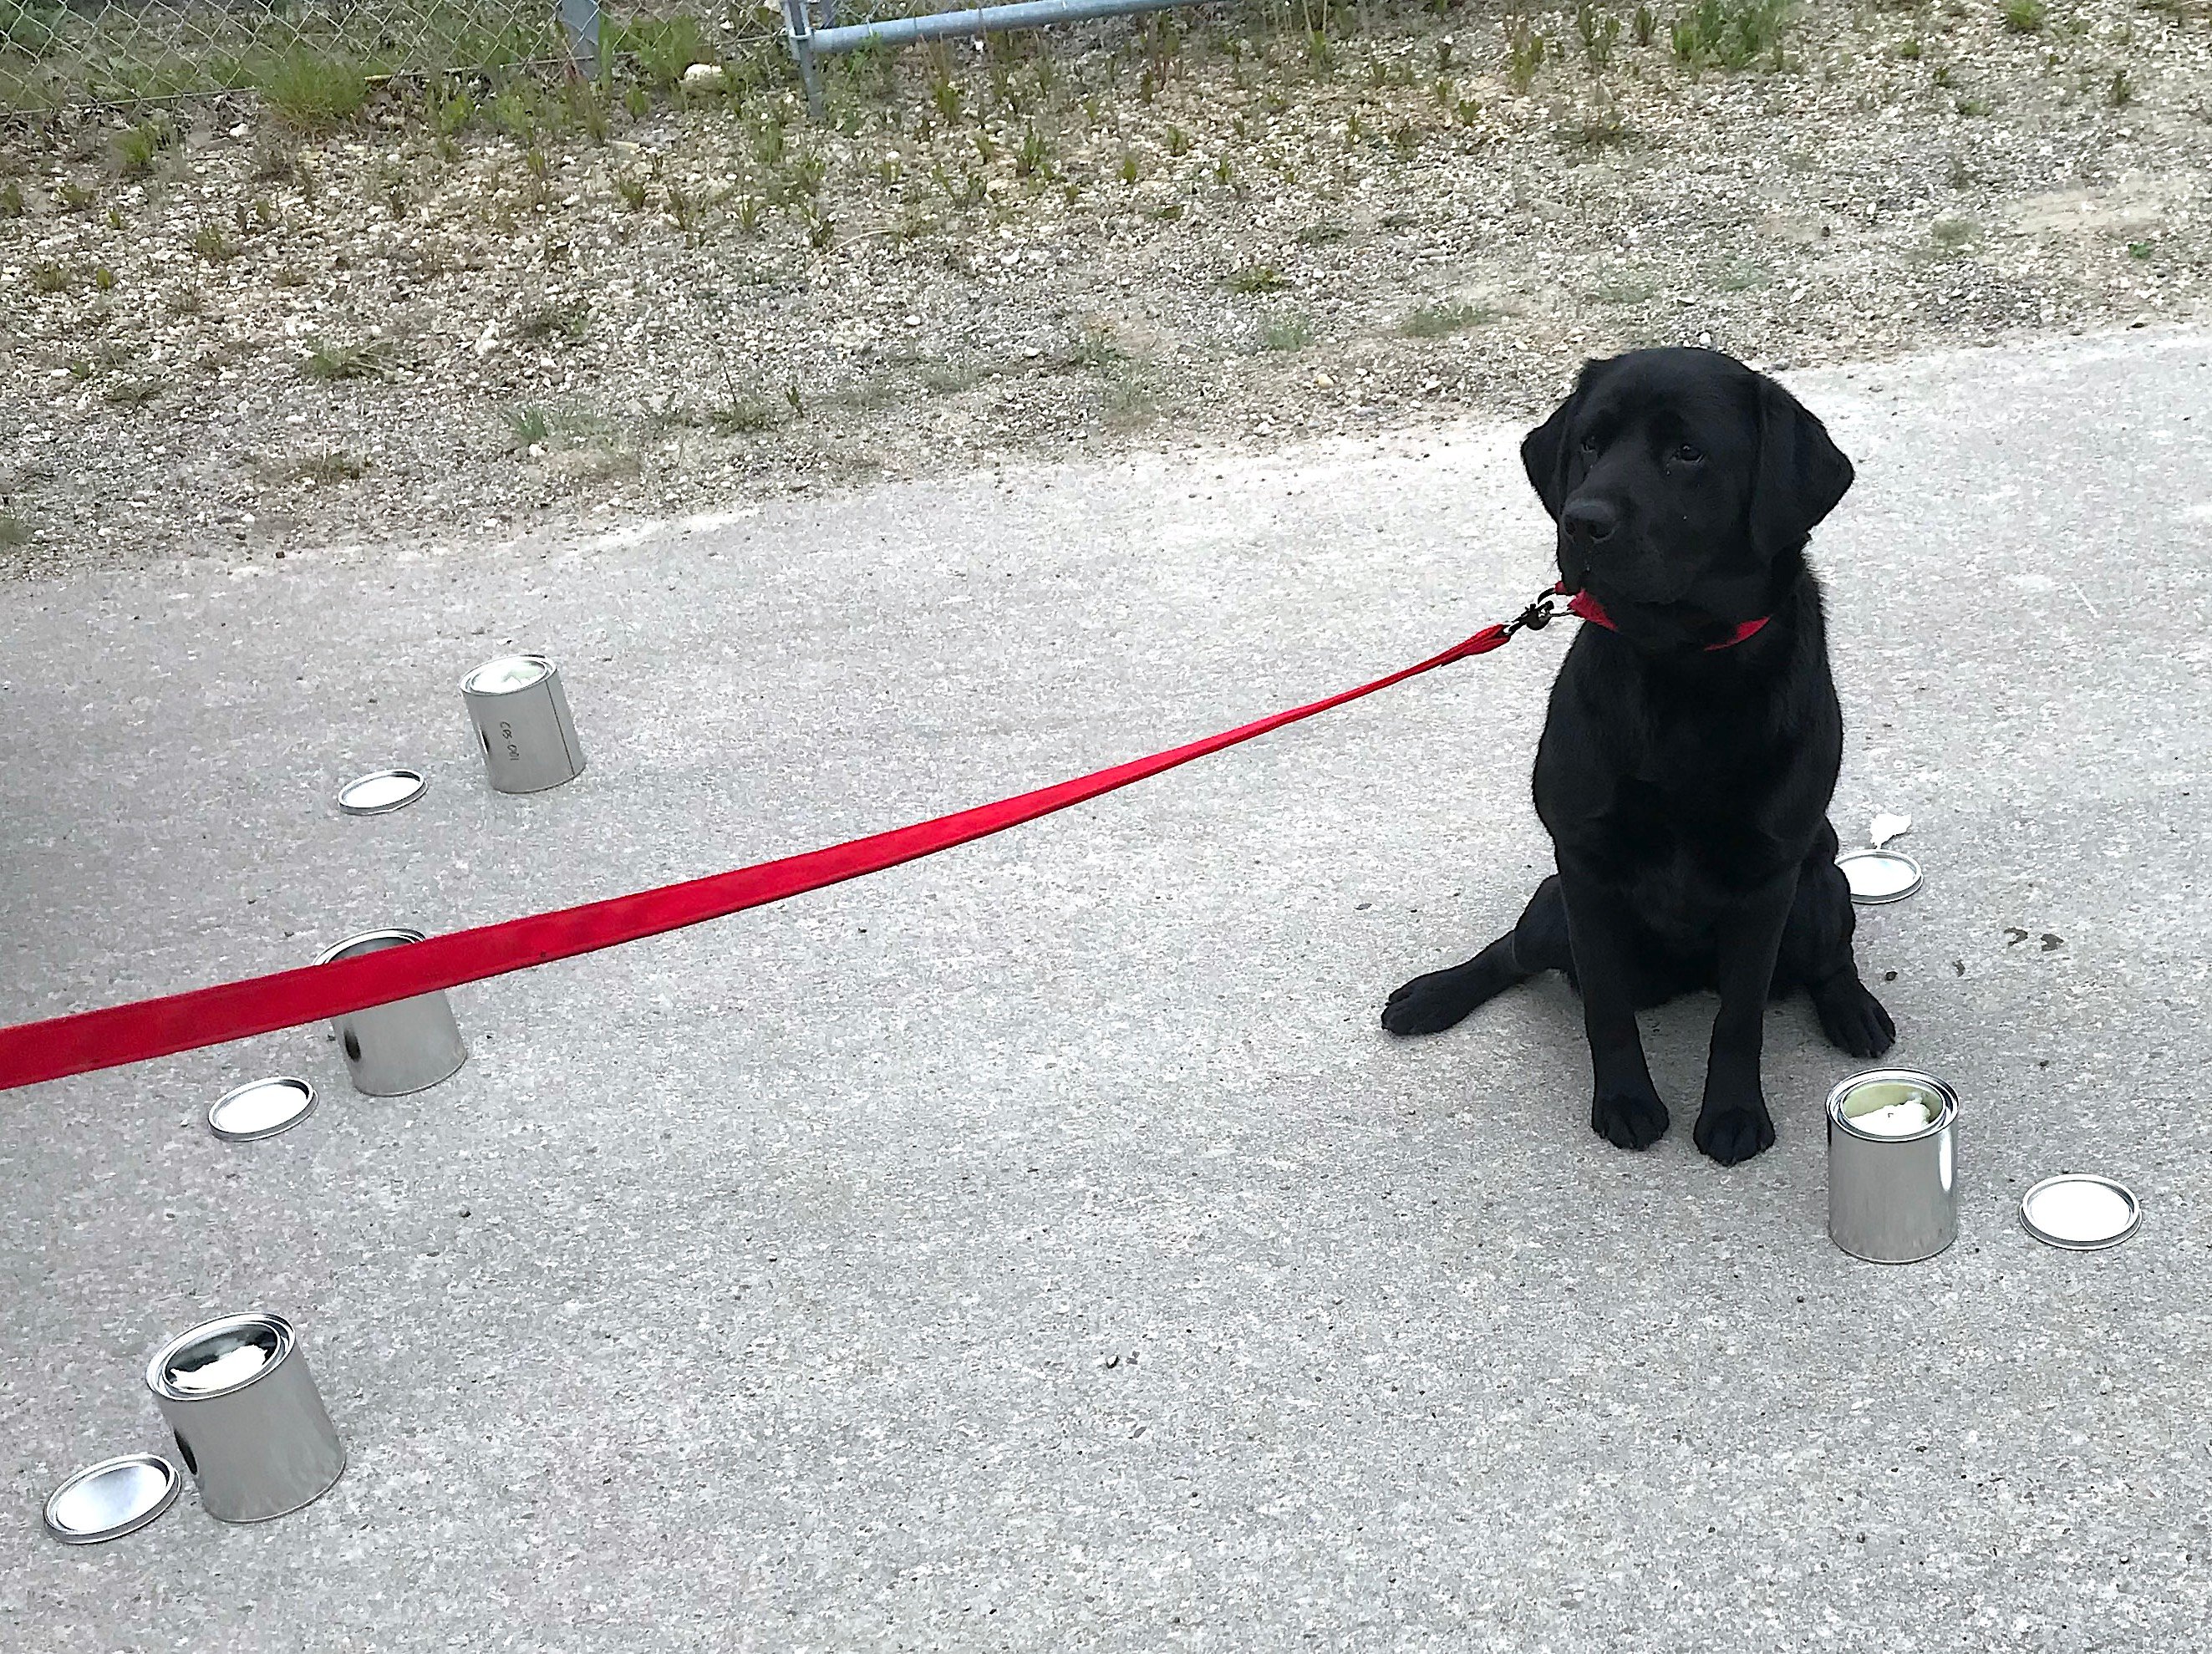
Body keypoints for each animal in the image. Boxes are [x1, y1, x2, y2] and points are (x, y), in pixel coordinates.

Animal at [1380, 347, 1884, 1158]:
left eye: (1687, 451)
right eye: (1589, 442)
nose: (1582, 521)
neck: (1679, 666)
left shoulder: (1767, 882)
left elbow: (1738, 1019)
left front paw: (1733, 1111)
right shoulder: (1583, 870)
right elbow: (1606, 1009)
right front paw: (1624, 1099)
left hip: (1818, 892)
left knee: (1831, 956)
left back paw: (1853, 1009)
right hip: (1551, 911)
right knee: (1510, 950)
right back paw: (1434, 994)